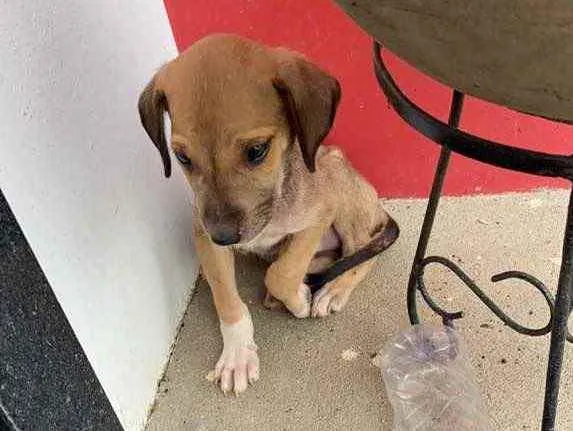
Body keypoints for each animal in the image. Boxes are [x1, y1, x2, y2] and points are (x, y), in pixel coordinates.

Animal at [139, 35, 398, 396]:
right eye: (182, 158)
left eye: (257, 150)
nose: (224, 237)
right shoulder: (203, 234)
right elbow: (226, 298)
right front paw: (237, 354)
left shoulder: (319, 214)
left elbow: (282, 272)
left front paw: (299, 300)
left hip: (336, 174)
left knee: (362, 251)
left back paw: (332, 290)